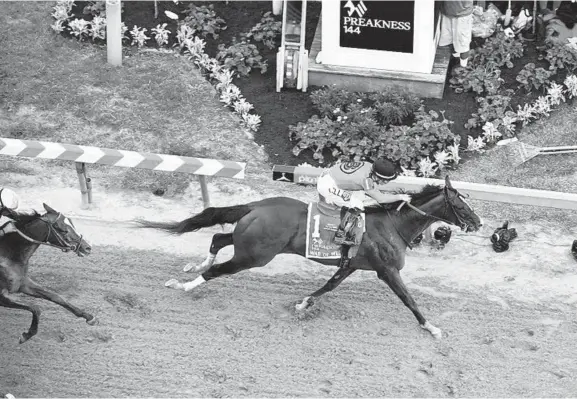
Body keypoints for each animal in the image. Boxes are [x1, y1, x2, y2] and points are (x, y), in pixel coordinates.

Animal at [0, 205, 94, 346]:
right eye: (62, 229)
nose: (87, 248)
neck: (9, 254)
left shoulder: (23, 283)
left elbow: (56, 296)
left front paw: (88, 316)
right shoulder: (1, 296)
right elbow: (36, 308)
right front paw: (26, 335)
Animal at [140, 177, 482, 340]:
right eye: (461, 206)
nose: (478, 223)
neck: (392, 225)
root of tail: (257, 205)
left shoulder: (351, 265)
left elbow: (328, 286)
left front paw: (304, 303)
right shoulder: (386, 270)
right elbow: (409, 299)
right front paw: (431, 327)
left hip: (247, 243)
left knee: (218, 239)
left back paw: (195, 266)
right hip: (255, 255)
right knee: (219, 268)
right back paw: (185, 284)